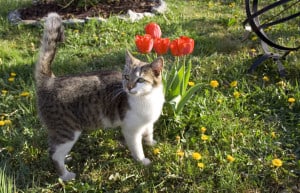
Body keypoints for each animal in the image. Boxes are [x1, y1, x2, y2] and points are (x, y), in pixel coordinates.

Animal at [35, 12, 165, 181]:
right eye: (126, 77)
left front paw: (151, 143)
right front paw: (142, 161)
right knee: (54, 154)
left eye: (140, 80)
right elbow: (137, 148)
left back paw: (67, 158)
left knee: (54, 147)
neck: (146, 99)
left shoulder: (148, 123)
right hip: (66, 131)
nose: (128, 87)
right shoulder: (131, 130)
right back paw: (65, 175)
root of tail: (50, 81)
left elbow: (149, 133)